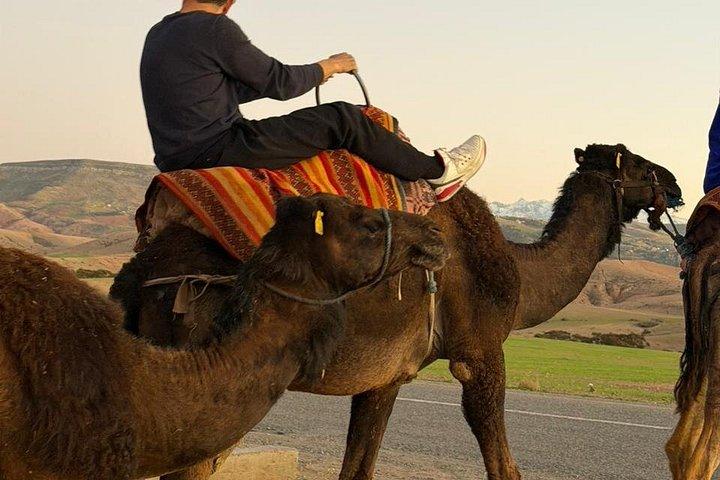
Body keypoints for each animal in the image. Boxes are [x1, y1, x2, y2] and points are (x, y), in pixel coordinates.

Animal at [111, 144, 683, 480]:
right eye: (637, 164)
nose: (675, 183)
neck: (519, 273)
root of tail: (143, 276)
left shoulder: (385, 376)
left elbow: (358, 466)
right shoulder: (479, 352)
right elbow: (503, 464)